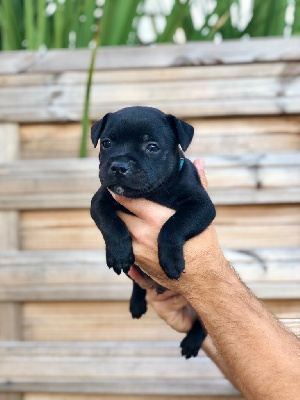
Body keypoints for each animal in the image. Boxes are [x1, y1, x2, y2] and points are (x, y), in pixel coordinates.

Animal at [91, 104, 216, 358]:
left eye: (152, 147)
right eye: (106, 143)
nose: (119, 166)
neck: (151, 193)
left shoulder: (201, 206)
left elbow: (173, 225)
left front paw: (170, 260)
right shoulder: (100, 199)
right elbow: (110, 223)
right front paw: (118, 252)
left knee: (204, 322)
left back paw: (192, 342)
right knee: (137, 282)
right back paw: (136, 303)